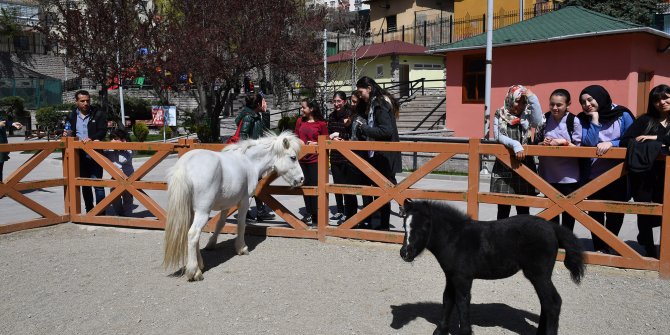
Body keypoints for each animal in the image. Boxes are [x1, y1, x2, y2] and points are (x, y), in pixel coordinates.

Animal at [165, 131, 304, 280]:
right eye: (293, 157)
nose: (301, 179)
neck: (249, 162)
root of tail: (185, 165)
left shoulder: (226, 204)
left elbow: (220, 224)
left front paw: (211, 243)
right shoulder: (245, 201)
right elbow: (241, 224)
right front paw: (241, 248)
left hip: (191, 211)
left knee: (190, 233)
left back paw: (200, 264)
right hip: (202, 211)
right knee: (193, 234)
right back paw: (194, 271)